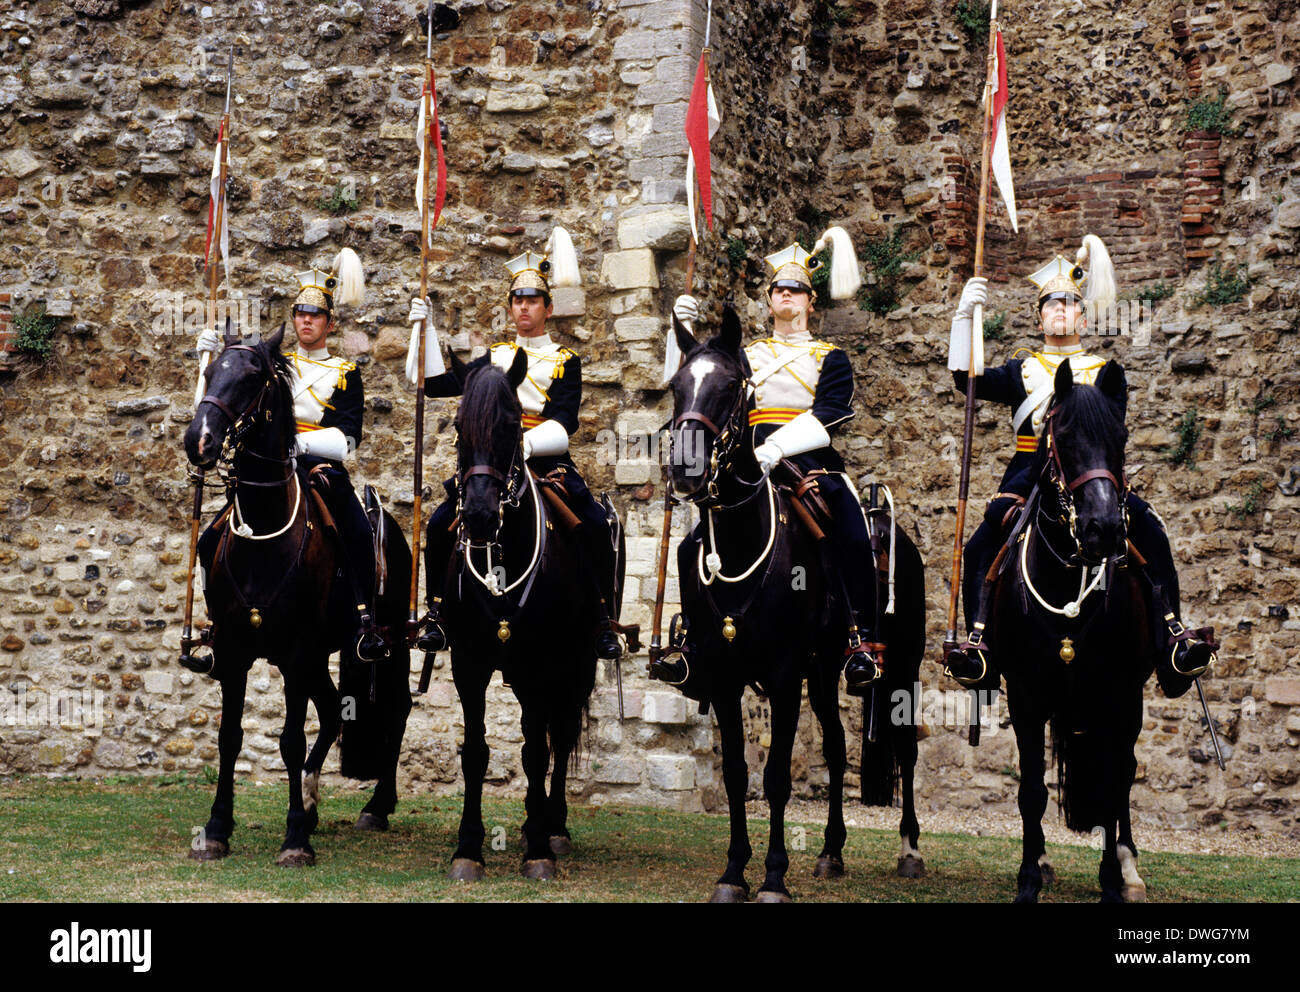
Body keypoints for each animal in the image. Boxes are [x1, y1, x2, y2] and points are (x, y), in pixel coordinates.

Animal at [183, 327, 410, 868]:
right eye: (211, 370)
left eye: (251, 378)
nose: (198, 440)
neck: (264, 537)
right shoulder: (236, 652)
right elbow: (229, 737)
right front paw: (217, 828)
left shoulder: (296, 652)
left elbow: (288, 739)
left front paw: (293, 841)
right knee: (330, 713)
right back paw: (310, 803)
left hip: (388, 643)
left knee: (395, 709)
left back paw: (376, 806)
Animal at [436, 348, 598, 884]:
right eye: (458, 424)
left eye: (511, 425)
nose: (480, 516)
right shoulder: (468, 663)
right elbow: (476, 752)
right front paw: (468, 847)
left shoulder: (544, 665)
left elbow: (537, 751)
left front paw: (540, 852)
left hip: (576, 666)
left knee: (559, 737)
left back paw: (552, 828)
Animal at [670, 308, 925, 899]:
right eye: (676, 386)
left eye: (730, 388)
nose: (686, 469)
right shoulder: (724, 677)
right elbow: (737, 774)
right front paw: (733, 871)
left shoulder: (785, 676)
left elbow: (777, 777)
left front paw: (772, 876)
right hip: (827, 670)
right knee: (835, 745)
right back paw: (831, 850)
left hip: (900, 665)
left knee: (904, 747)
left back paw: (909, 849)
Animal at [987, 361, 1154, 904]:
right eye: (1061, 436)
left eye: (1121, 436)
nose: (1104, 528)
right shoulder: (1026, 695)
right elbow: (1032, 790)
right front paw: (1027, 881)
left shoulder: (1119, 695)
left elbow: (1113, 784)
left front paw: (1112, 883)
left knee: (1122, 776)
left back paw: (1127, 867)